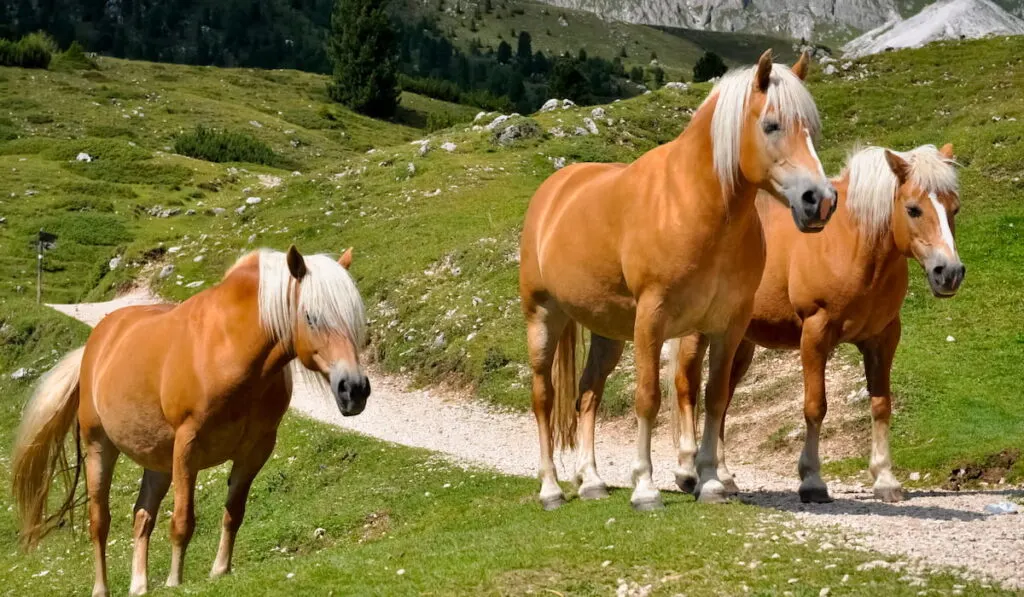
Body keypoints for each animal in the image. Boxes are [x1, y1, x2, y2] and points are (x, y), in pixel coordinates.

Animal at [12, 246, 372, 597]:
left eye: (354, 318)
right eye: (311, 317)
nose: (354, 389)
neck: (227, 347)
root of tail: (96, 343)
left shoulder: (255, 449)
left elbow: (233, 513)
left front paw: (220, 570)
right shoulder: (188, 446)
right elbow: (183, 521)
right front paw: (175, 581)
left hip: (158, 461)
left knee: (142, 516)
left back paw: (140, 587)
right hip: (99, 447)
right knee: (99, 522)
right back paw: (101, 588)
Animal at [516, 49, 835, 512]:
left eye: (811, 127)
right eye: (771, 125)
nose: (820, 201)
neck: (690, 204)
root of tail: (553, 190)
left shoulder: (727, 325)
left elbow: (715, 398)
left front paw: (712, 483)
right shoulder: (652, 319)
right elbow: (649, 397)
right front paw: (646, 488)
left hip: (608, 333)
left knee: (588, 394)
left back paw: (591, 481)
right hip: (543, 317)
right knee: (544, 398)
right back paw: (551, 489)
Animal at [667, 144, 962, 503]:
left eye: (955, 208)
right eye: (914, 209)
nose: (949, 272)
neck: (851, 244)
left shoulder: (883, 338)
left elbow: (881, 405)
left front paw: (885, 479)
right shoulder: (815, 333)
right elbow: (815, 406)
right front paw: (812, 480)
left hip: (739, 340)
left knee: (721, 399)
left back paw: (723, 477)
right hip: (697, 333)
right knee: (687, 386)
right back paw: (687, 471)